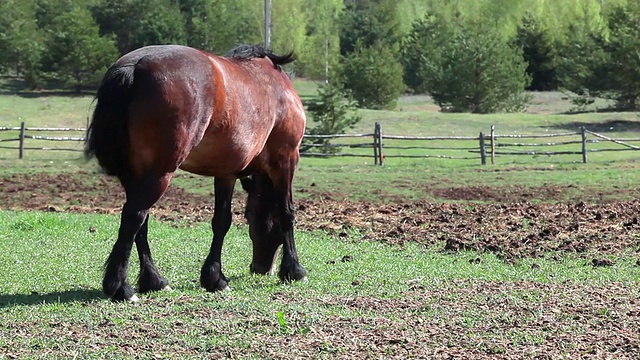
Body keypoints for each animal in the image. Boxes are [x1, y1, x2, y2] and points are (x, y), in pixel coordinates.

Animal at [84, 45, 308, 304]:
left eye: (250, 216)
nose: (260, 268)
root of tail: (134, 67)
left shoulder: (226, 172)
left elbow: (221, 221)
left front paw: (214, 278)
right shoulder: (286, 160)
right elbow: (286, 212)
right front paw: (294, 269)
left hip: (136, 175)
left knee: (141, 221)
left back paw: (155, 281)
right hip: (160, 173)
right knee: (134, 216)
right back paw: (121, 287)